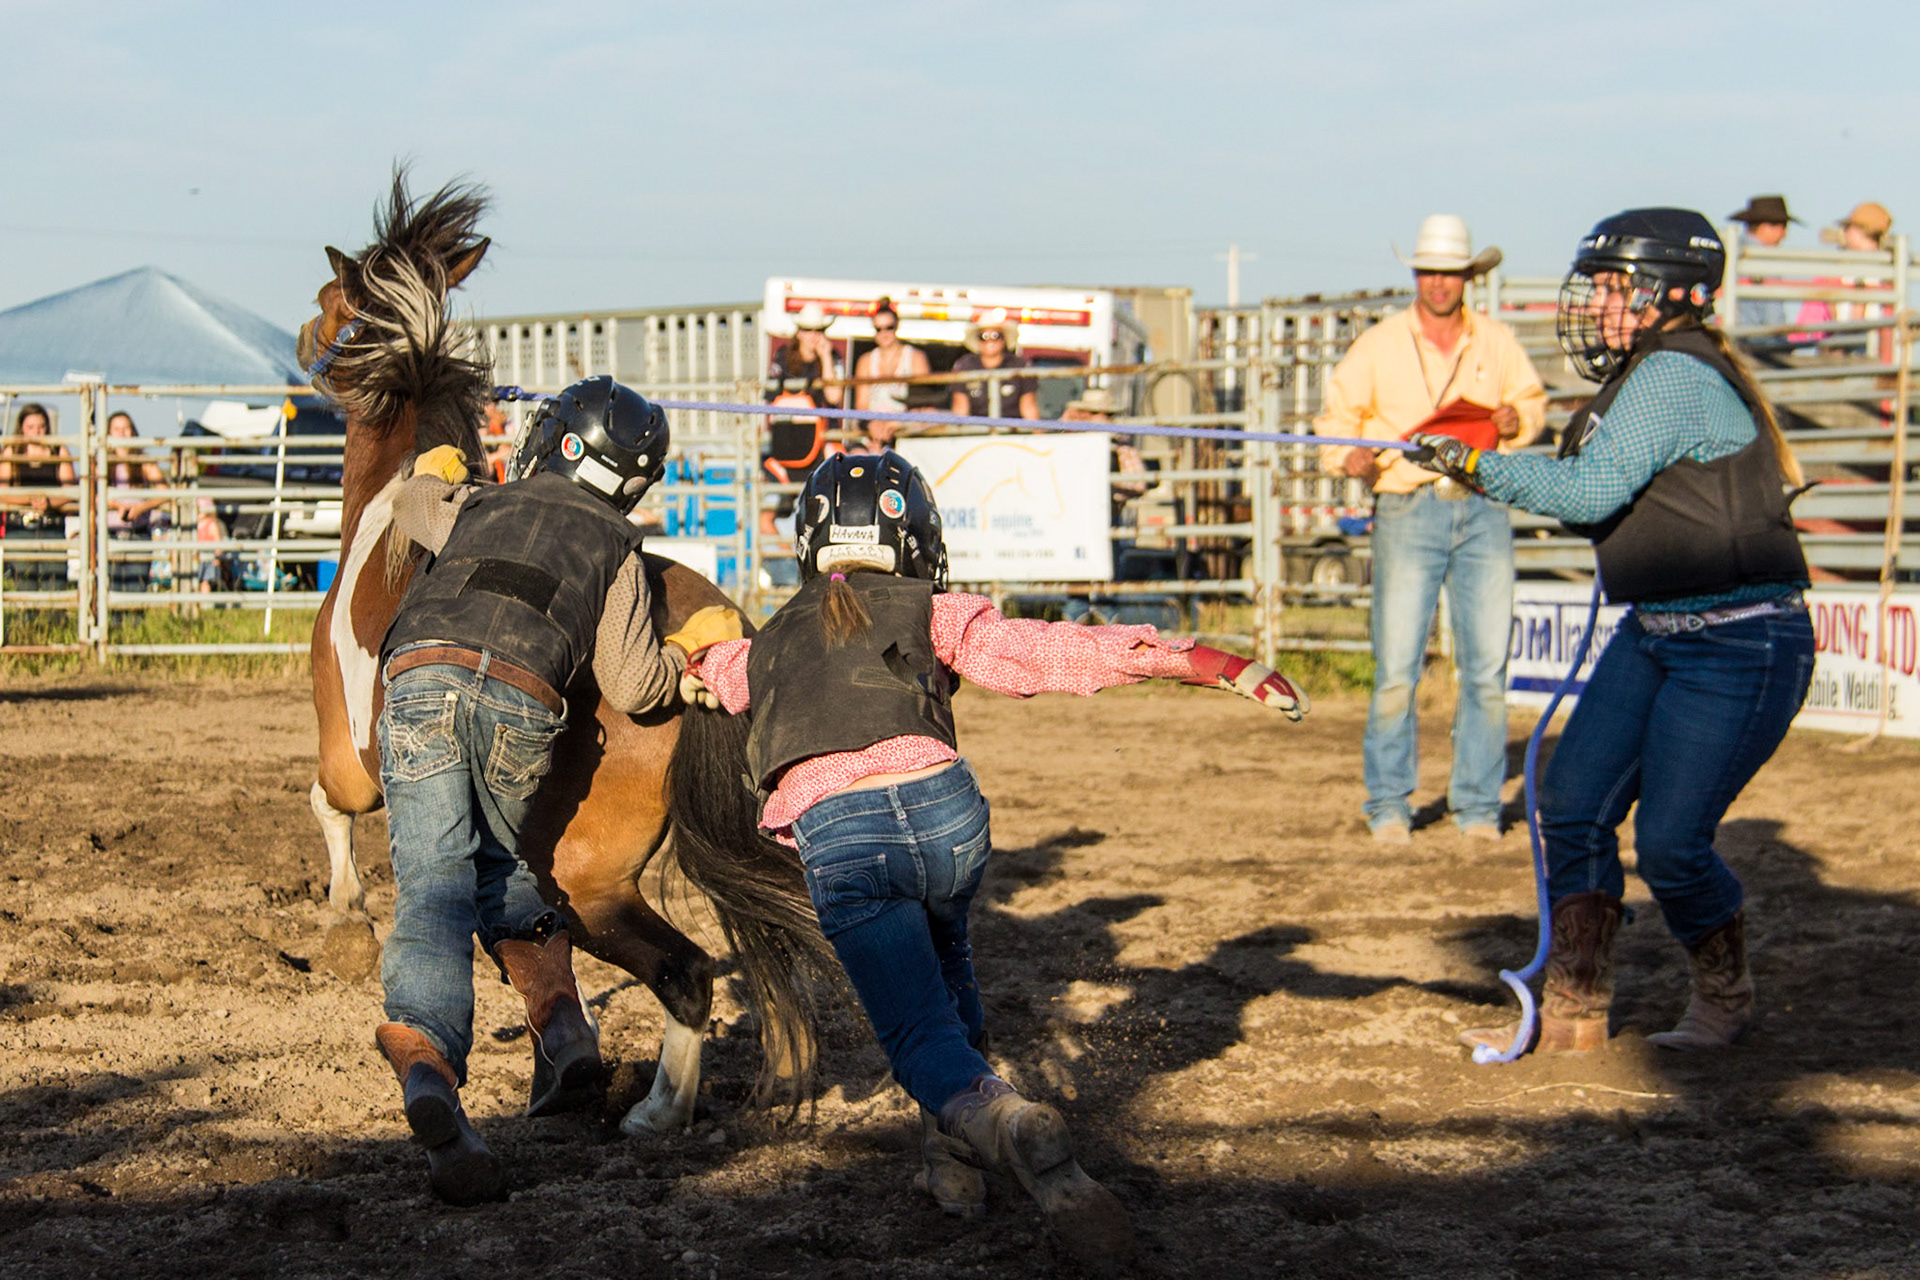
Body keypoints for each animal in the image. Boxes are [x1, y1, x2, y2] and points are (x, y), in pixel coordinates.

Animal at [301, 172, 828, 1133]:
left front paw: (346, 919)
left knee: (684, 971)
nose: (300, 337)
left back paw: (655, 1111)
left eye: (332, 302)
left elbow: (330, 808)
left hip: (585, 878)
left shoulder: (349, 756)